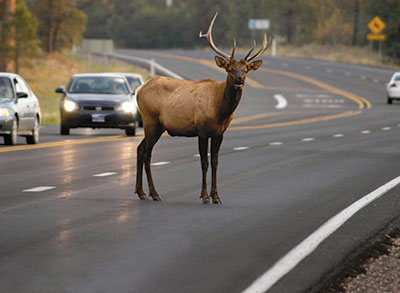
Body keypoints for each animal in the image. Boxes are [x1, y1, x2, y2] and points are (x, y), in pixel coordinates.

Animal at [135, 12, 272, 203]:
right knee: (147, 153)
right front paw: (205, 196)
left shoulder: (219, 133)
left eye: (245, 70)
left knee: (140, 149)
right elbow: (204, 162)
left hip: (158, 126)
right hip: (150, 121)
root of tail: (139, 89)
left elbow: (215, 162)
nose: (239, 80)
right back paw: (154, 193)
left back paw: (141, 192)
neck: (220, 110)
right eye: (230, 69)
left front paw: (216, 196)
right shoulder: (201, 130)